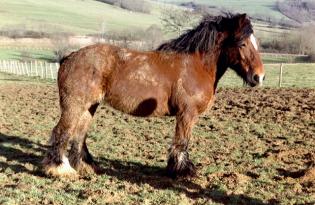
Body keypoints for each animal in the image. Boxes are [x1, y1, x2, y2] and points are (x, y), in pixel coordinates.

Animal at [42, 13, 264, 179]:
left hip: (90, 106)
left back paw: (84, 167)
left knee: (79, 135)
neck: (195, 65)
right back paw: (61, 168)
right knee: (62, 131)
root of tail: (69, 57)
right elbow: (182, 142)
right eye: (242, 43)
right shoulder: (187, 114)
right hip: (74, 106)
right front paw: (182, 172)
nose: (259, 77)